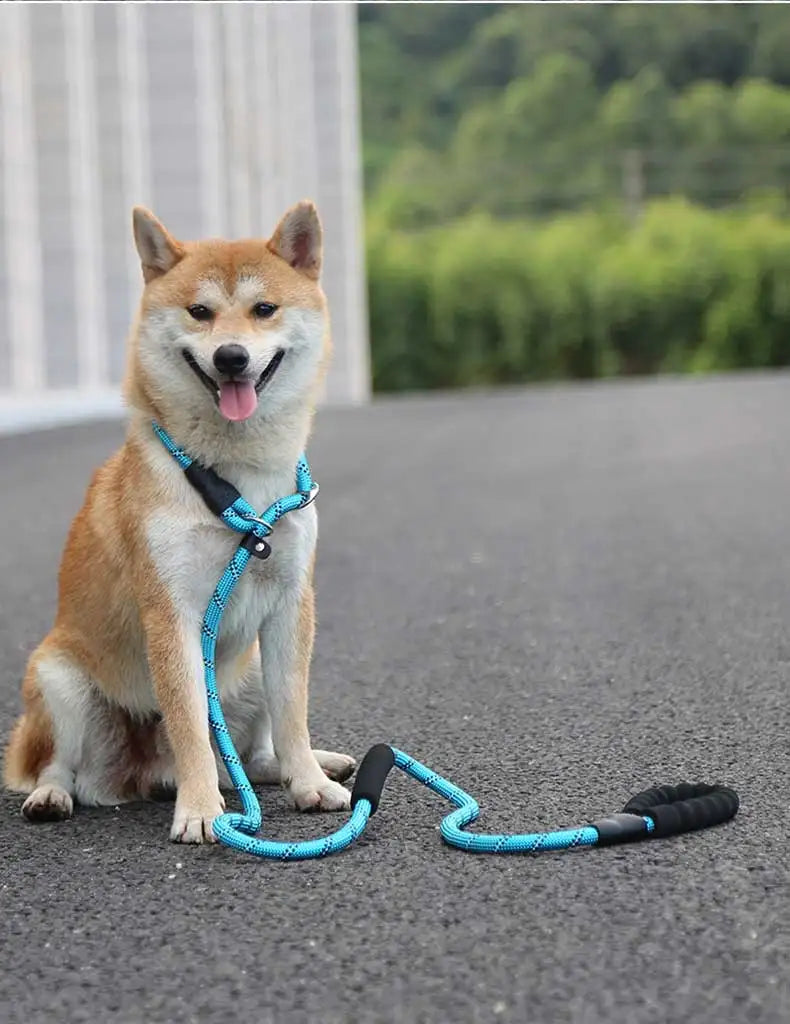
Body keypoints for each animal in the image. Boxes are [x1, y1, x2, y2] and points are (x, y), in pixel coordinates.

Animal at [3, 199, 354, 839]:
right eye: (200, 312)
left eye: (264, 309)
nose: (231, 356)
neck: (236, 479)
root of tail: (145, 771)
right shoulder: (173, 613)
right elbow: (191, 722)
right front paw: (199, 811)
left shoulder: (290, 603)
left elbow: (293, 713)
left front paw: (310, 784)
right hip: (58, 681)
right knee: (58, 765)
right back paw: (52, 796)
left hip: (249, 670)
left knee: (252, 758)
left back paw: (316, 765)